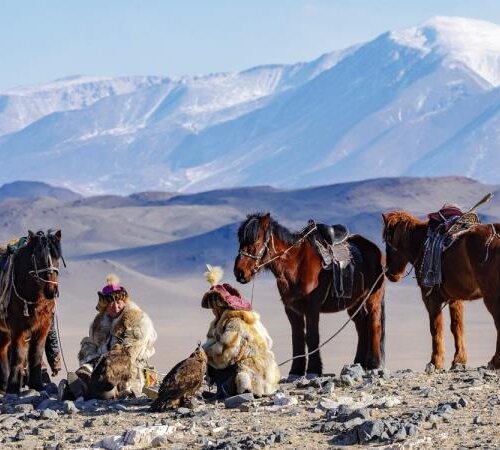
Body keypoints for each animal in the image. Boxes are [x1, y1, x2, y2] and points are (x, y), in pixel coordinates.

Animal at [0, 230, 64, 392]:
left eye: (57, 258)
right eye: (38, 258)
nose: (51, 291)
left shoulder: (43, 326)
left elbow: (36, 354)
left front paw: (37, 385)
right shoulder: (17, 328)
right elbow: (18, 355)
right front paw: (13, 386)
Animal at [232, 214, 384, 376]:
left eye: (256, 240)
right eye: (240, 240)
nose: (239, 272)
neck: (296, 264)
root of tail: (376, 249)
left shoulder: (312, 307)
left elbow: (312, 336)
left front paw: (314, 369)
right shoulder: (291, 309)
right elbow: (297, 337)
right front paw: (296, 370)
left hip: (373, 298)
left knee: (374, 324)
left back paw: (374, 364)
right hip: (355, 302)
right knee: (361, 326)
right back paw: (359, 362)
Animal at [384, 213, 500, 370]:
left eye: (387, 240)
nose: (390, 273)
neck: (421, 244)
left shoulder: (431, 298)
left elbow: (435, 327)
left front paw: (435, 362)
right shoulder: (455, 298)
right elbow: (456, 327)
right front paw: (458, 360)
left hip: (491, 296)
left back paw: (495, 361)